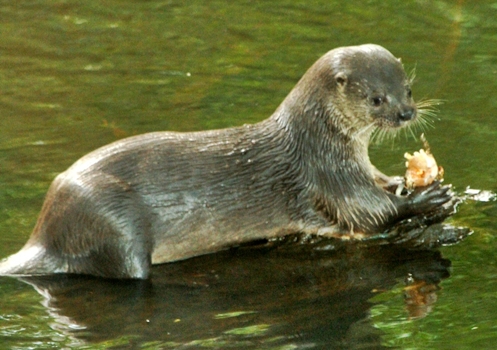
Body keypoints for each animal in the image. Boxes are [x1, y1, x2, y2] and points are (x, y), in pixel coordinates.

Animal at [0, 44, 454, 278]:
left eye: (408, 89)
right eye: (376, 98)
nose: (405, 113)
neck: (316, 139)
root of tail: (44, 233)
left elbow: (379, 186)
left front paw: (408, 181)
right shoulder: (329, 173)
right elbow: (369, 213)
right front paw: (427, 200)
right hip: (111, 219)